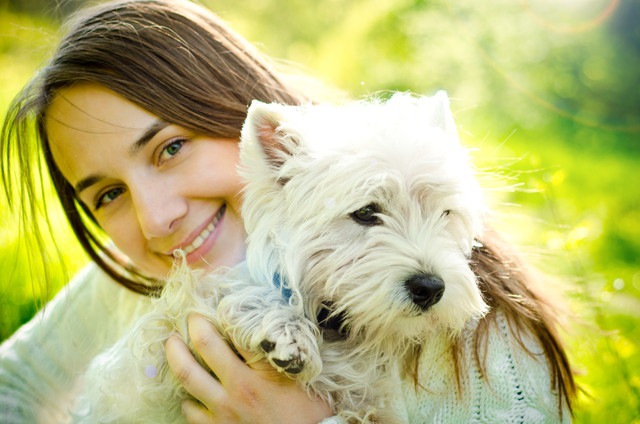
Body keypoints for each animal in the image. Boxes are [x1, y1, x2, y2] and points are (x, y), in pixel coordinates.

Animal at [71, 91, 484, 422]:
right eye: (366, 212)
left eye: (445, 213)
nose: (430, 288)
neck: (335, 328)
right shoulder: (154, 353)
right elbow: (212, 295)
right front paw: (285, 331)